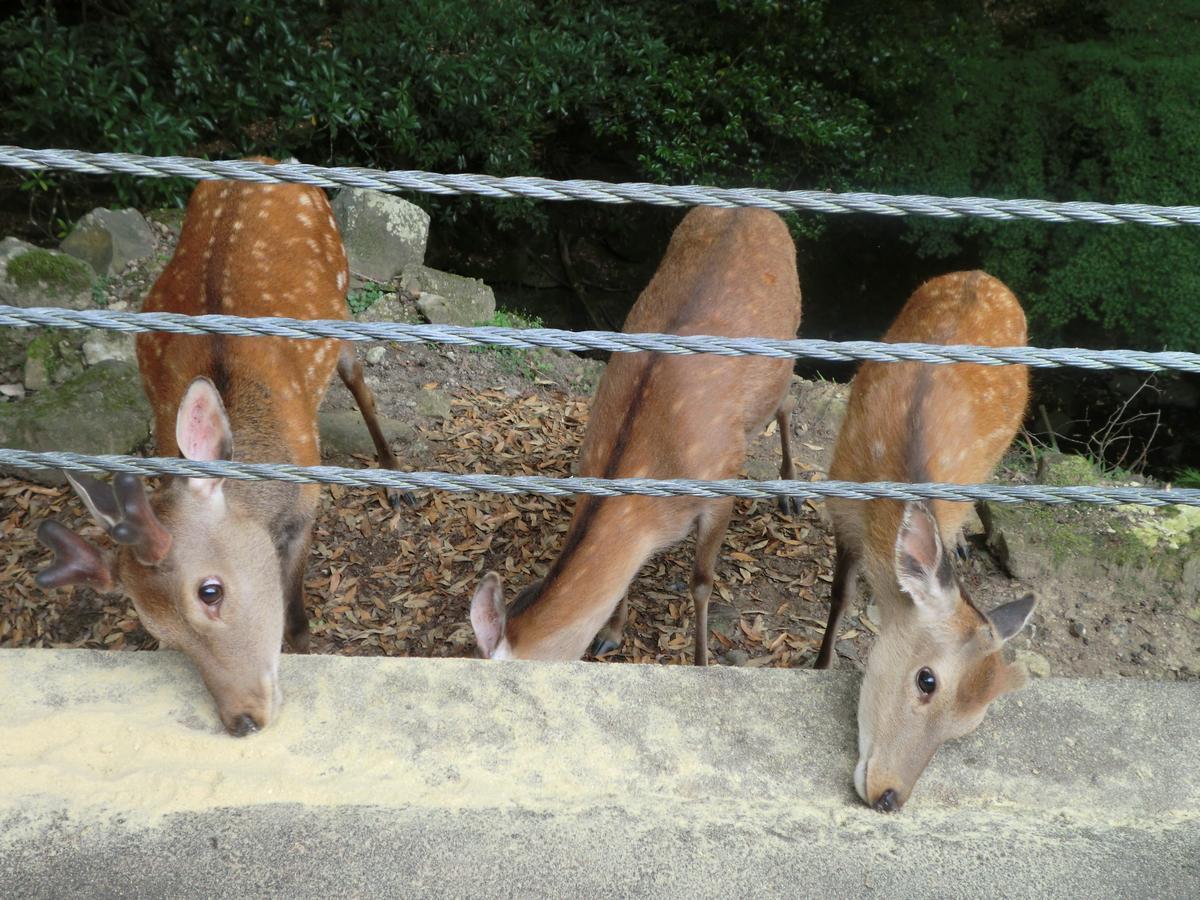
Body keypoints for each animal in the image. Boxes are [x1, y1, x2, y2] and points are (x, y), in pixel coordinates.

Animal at [34, 164, 408, 739]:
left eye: (210, 592)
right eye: (157, 630)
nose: (243, 719)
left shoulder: (306, 507)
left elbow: (296, 622)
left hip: (343, 302)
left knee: (359, 379)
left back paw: (393, 475)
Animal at [465, 207, 796, 667]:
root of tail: (751, 205)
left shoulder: (720, 486)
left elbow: (701, 582)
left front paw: (702, 661)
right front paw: (610, 634)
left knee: (786, 403)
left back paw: (790, 491)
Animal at [820, 271, 1036, 816]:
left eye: (966, 727)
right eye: (927, 680)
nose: (890, 797)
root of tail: (984, 275)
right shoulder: (839, 500)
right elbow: (839, 597)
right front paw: (820, 661)